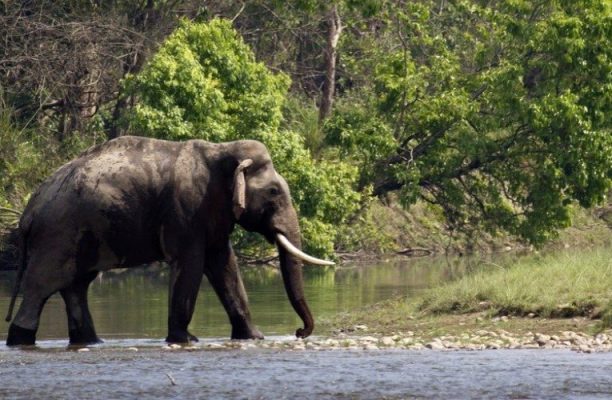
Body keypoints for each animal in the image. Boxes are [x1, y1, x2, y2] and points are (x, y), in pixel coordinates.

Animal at [2, 136, 332, 346]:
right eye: (274, 192)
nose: (299, 332)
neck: (221, 150)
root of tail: (28, 212)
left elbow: (223, 265)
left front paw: (254, 337)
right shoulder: (186, 209)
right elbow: (191, 263)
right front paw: (185, 340)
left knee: (76, 287)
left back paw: (92, 342)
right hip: (56, 236)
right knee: (41, 289)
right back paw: (20, 340)